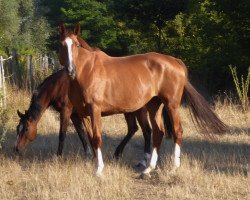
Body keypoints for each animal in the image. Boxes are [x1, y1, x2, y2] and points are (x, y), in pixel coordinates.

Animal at [14, 69, 168, 166]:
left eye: (26, 129)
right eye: (17, 129)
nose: (16, 149)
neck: (59, 86)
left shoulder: (66, 112)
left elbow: (62, 134)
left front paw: (58, 157)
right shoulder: (76, 115)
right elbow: (84, 135)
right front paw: (92, 156)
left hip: (139, 111)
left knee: (146, 131)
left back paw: (143, 160)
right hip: (129, 111)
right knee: (133, 129)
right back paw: (117, 153)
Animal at [58, 23, 229, 177]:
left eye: (76, 45)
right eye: (62, 45)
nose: (70, 70)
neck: (88, 71)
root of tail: (175, 61)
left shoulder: (95, 110)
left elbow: (97, 138)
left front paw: (99, 170)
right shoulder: (84, 114)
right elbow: (90, 138)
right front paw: (95, 164)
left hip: (171, 105)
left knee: (177, 131)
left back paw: (173, 168)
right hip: (154, 106)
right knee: (158, 132)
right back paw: (148, 169)